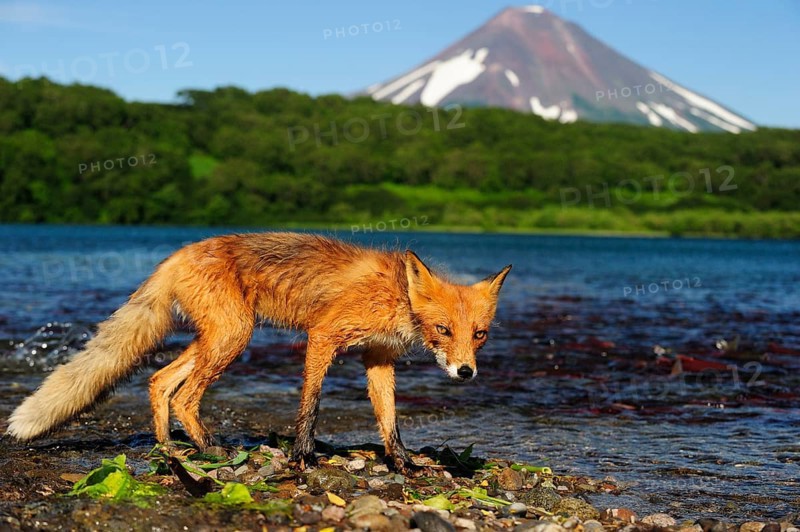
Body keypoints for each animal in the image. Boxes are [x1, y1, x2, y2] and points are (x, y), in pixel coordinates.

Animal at [6, 232, 511, 472]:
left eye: (479, 335)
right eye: (443, 329)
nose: (465, 372)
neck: (398, 297)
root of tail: (179, 253)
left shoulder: (378, 359)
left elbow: (390, 422)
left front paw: (404, 464)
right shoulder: (323, 336)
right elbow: (310, 405)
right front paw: (302, 457)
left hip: (216, 337)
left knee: (160, 380)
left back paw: (168, 448)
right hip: (235, 336)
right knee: (185, 396)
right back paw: (210, 448)